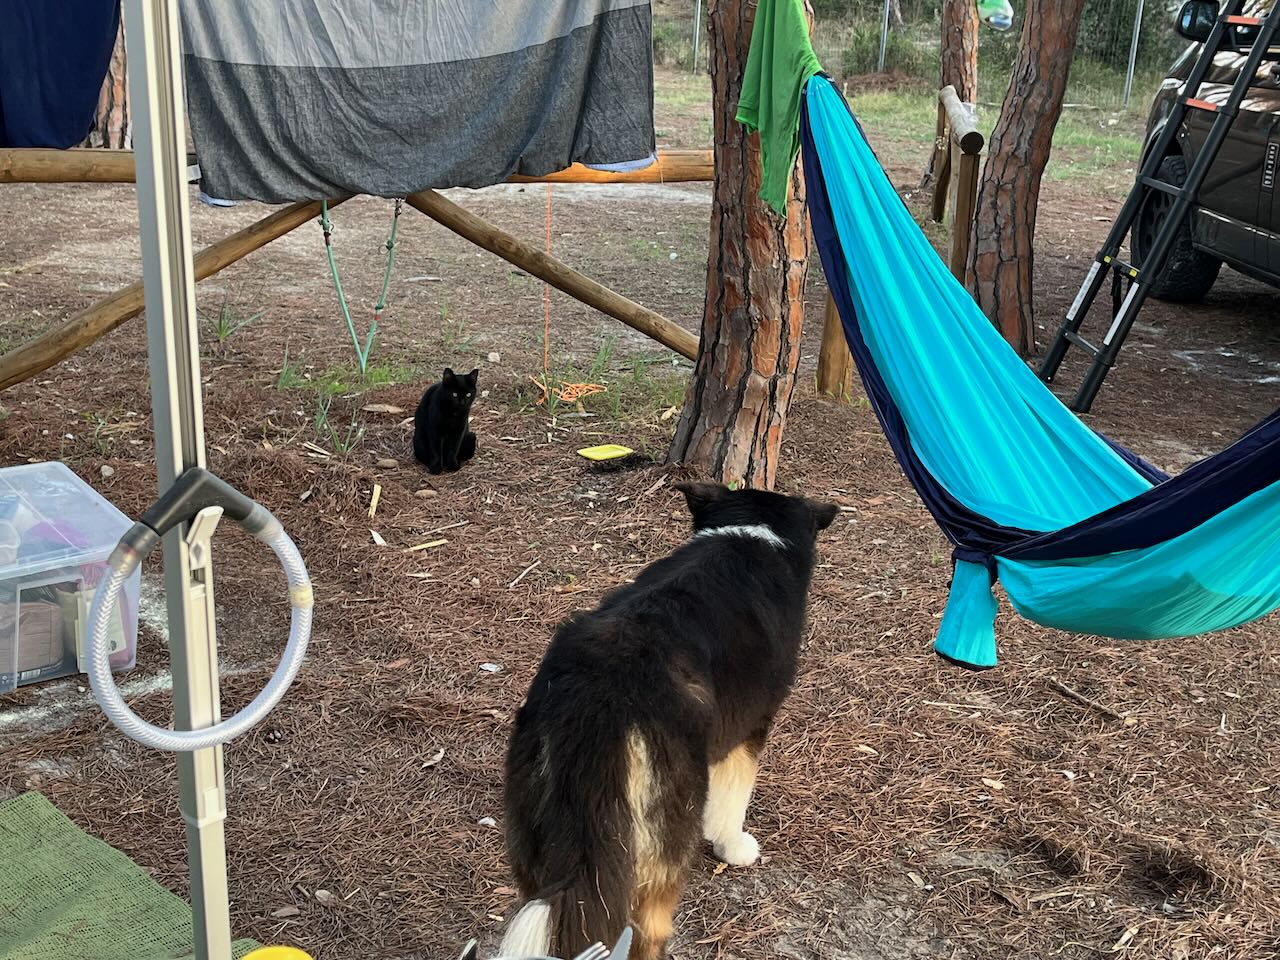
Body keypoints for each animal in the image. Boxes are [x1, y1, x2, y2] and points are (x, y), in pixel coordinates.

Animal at [499, 482, 839, 960]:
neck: (752, 531)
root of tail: (598, 702)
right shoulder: (750, 727)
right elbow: (734, 796)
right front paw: (733, 846)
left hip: (538, 834)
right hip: (660, 841)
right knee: (646, 928)